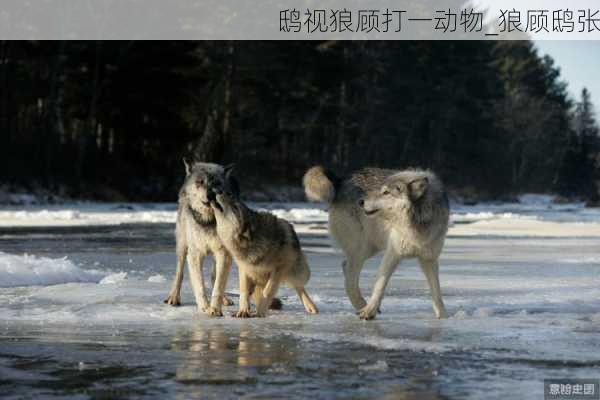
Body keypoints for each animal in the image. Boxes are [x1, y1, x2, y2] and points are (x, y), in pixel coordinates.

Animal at [302, 166, 448, 318]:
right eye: (382, 190)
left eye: (386, 192)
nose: (361, 202)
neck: (415, 224)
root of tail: (342, 180)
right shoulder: (392, 254)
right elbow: (380, 285)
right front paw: (369, 311)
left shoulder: (429, 259)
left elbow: (437, 292)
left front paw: (443, 316)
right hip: (362, 248)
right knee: (349, 278)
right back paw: (362, 305)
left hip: (370, 248)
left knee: (345, 266)